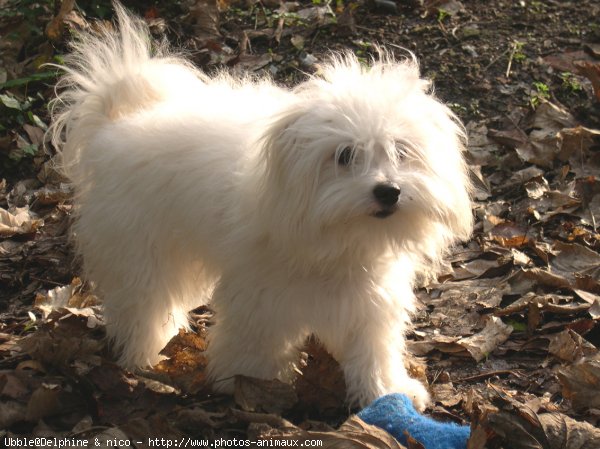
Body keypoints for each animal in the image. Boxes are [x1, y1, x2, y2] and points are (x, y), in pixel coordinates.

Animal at [50, 3, 474, 410]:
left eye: (401, 151)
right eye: (344, 155)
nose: (388, 191)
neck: (339, 240)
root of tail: (115, 124)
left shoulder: (368, 302)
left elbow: (372, 351)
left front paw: (387, 391)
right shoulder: (260, 297)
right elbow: (253, 345)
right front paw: (248, 384)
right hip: (141, 253)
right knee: (142, 306)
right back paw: (144, 357)